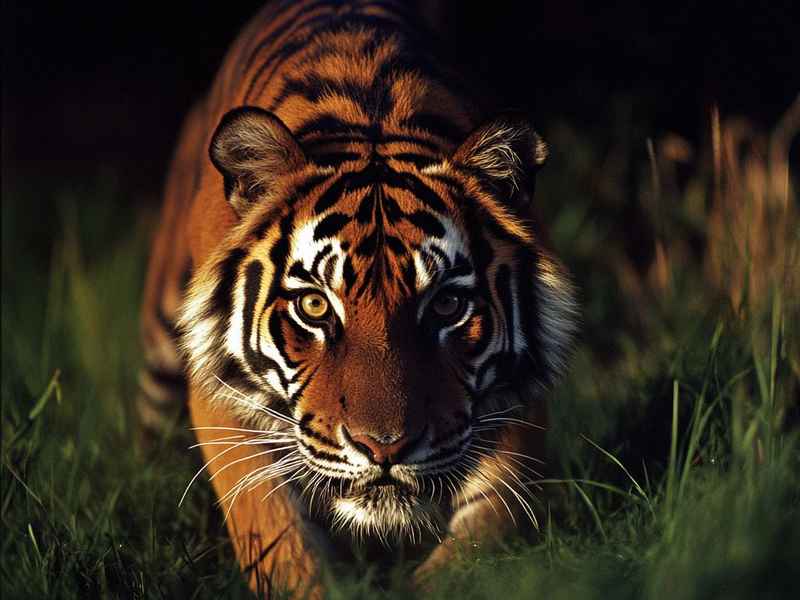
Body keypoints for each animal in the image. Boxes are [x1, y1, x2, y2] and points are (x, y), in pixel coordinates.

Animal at [137, 0, 578, 597]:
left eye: (446, 305)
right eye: (315, 306)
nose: (384, 449)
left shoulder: (515, 399)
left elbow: (484, 531)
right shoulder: (221, 397)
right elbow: (278, 538)